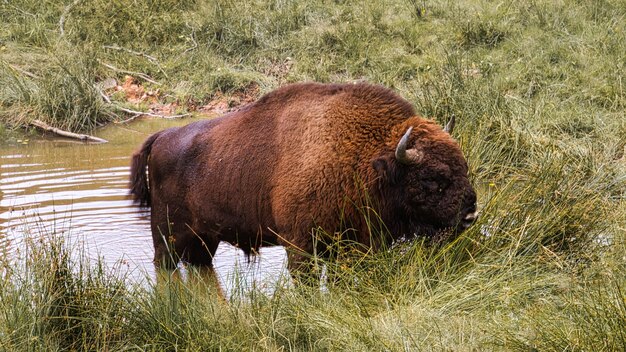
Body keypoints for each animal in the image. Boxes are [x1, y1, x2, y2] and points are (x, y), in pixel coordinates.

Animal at [129, 83, 476, 278]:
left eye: (464, 165)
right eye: (431, 177)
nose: (470, 213)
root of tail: (161, 137)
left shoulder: (348, 244)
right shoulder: (299, 244)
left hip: (205, 241)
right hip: (167, 238)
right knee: (165, 267)